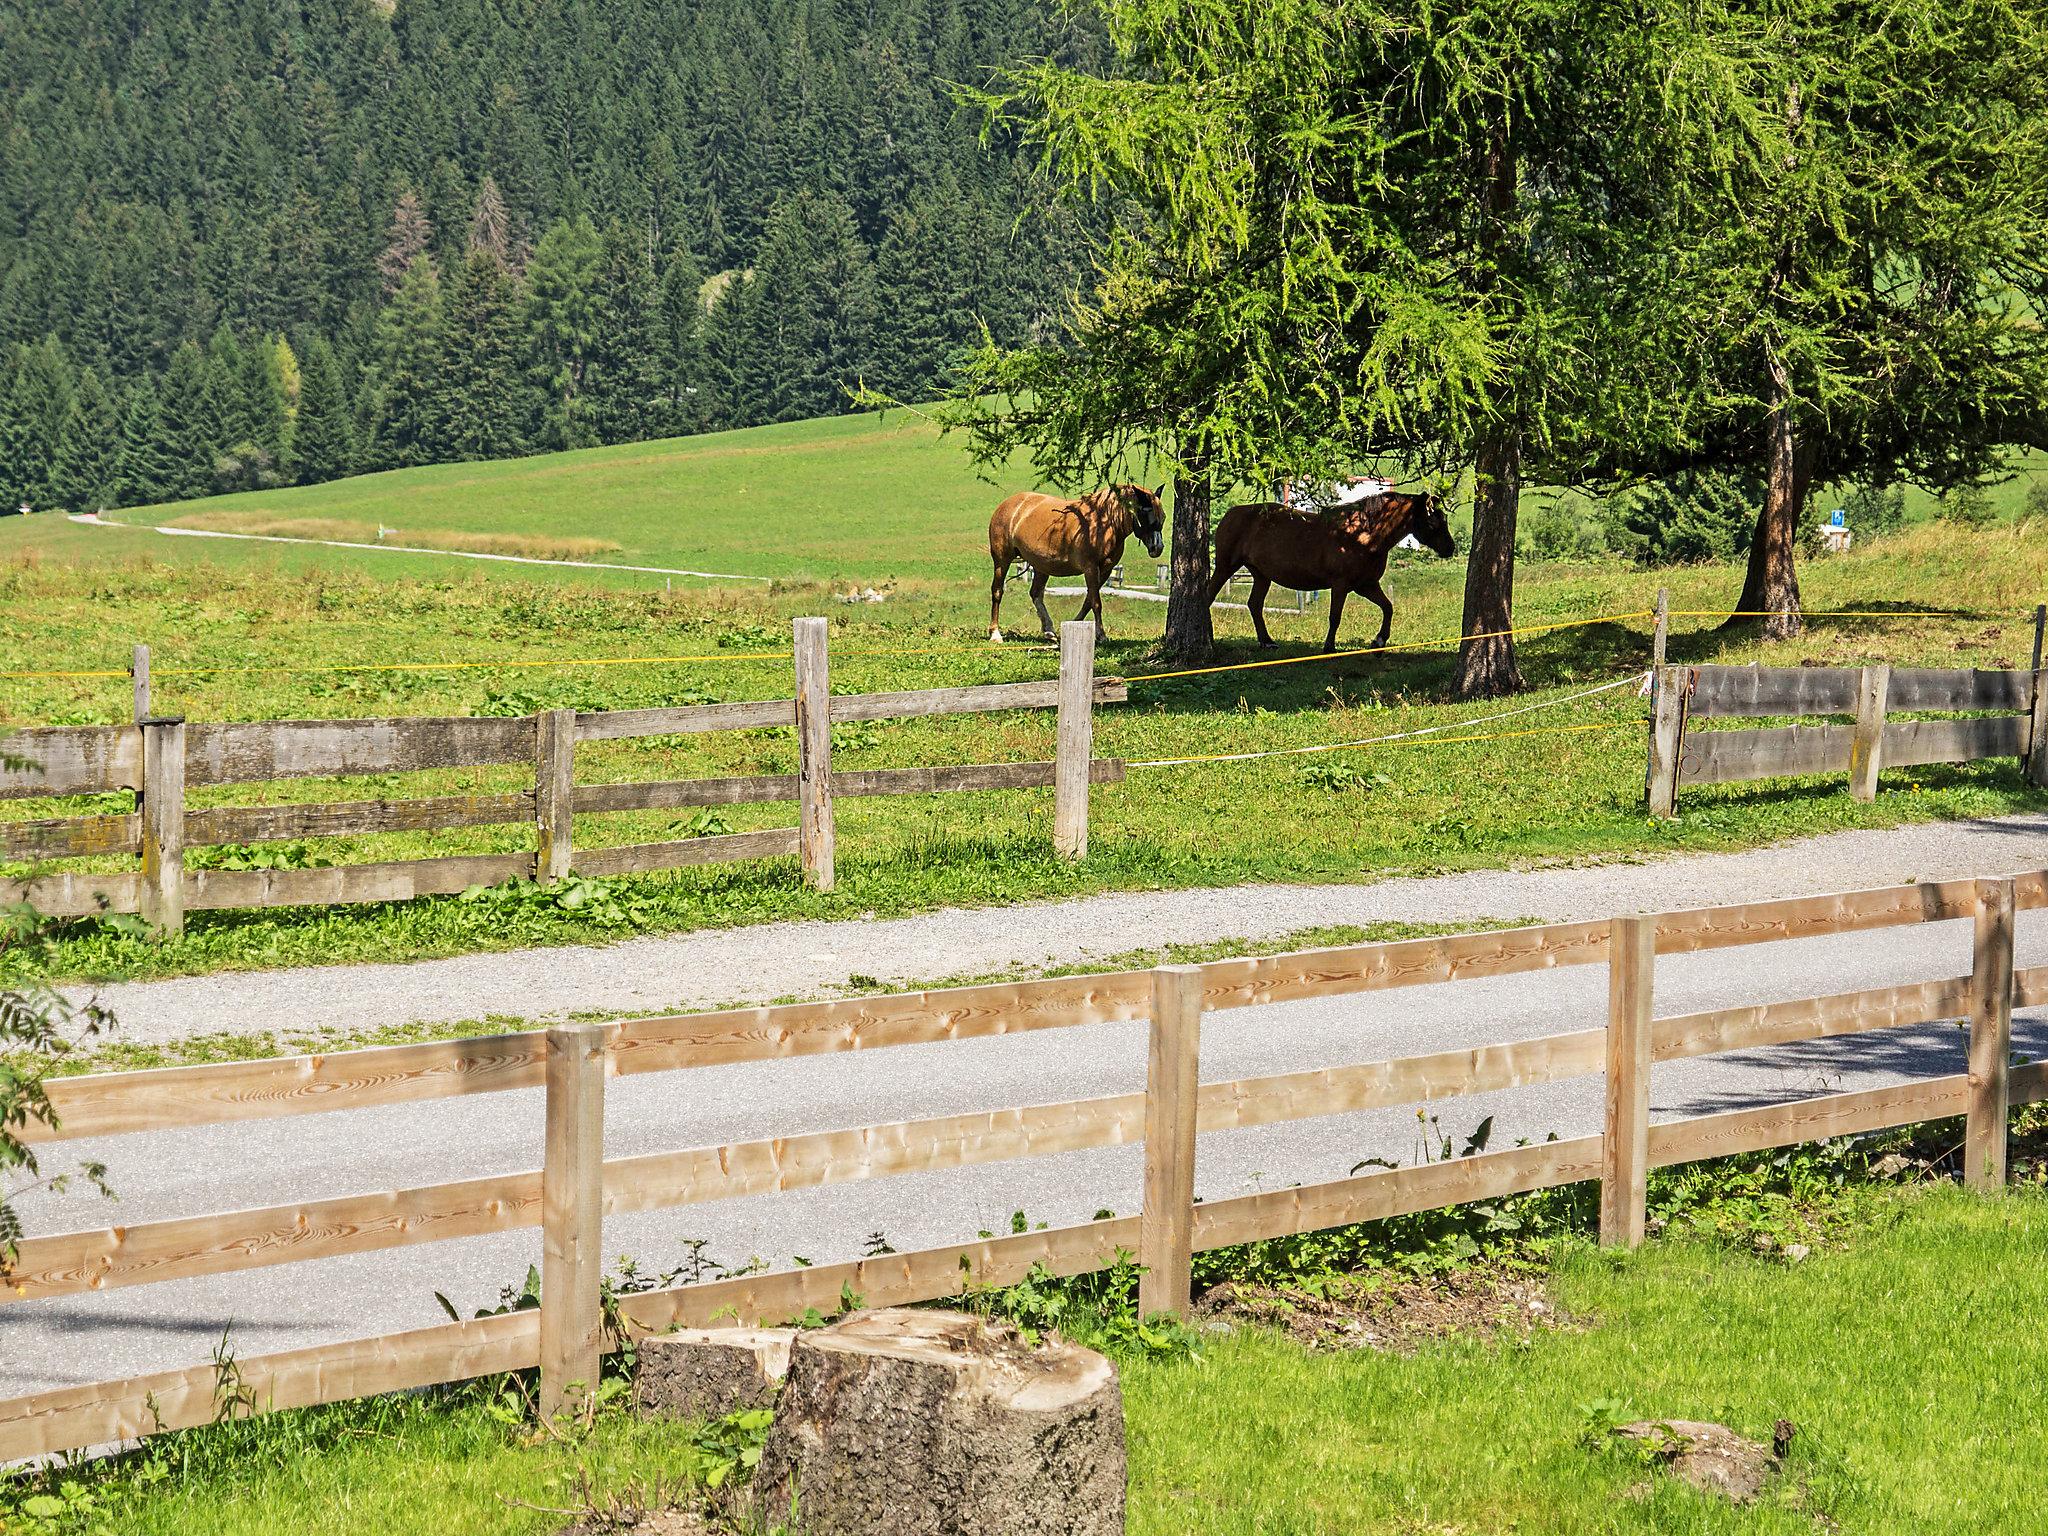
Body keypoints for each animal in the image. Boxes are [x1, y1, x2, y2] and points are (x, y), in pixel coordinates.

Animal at [991, 487, 1171, 643]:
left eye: (1162, 516)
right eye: (1145, 514)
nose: (1157, 548)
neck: (1103, 523)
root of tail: (1009, 505)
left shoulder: (1105, 570)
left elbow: (1089, 601)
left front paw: (1075, 624)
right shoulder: (1090, 568)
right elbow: (1096, 603)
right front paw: (1101, 635)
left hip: (1042, 566)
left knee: (1036, 594)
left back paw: (1049, 631)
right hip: (1002, 560)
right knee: (997, 591)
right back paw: (995, 633)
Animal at [1204, 495, 1466, 651]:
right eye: (1433, 521)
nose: (1450, 548)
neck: (1363, 535)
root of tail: (1231, 514)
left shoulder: (1366, 585)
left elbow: (1388, 607)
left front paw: (1379, 640)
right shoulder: (1341, 585)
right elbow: (1335, 617)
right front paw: (1329, 647)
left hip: (1261, 575)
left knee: (1255, 605)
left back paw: (1267, 642)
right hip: (1225, 567)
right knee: (1208, 597)